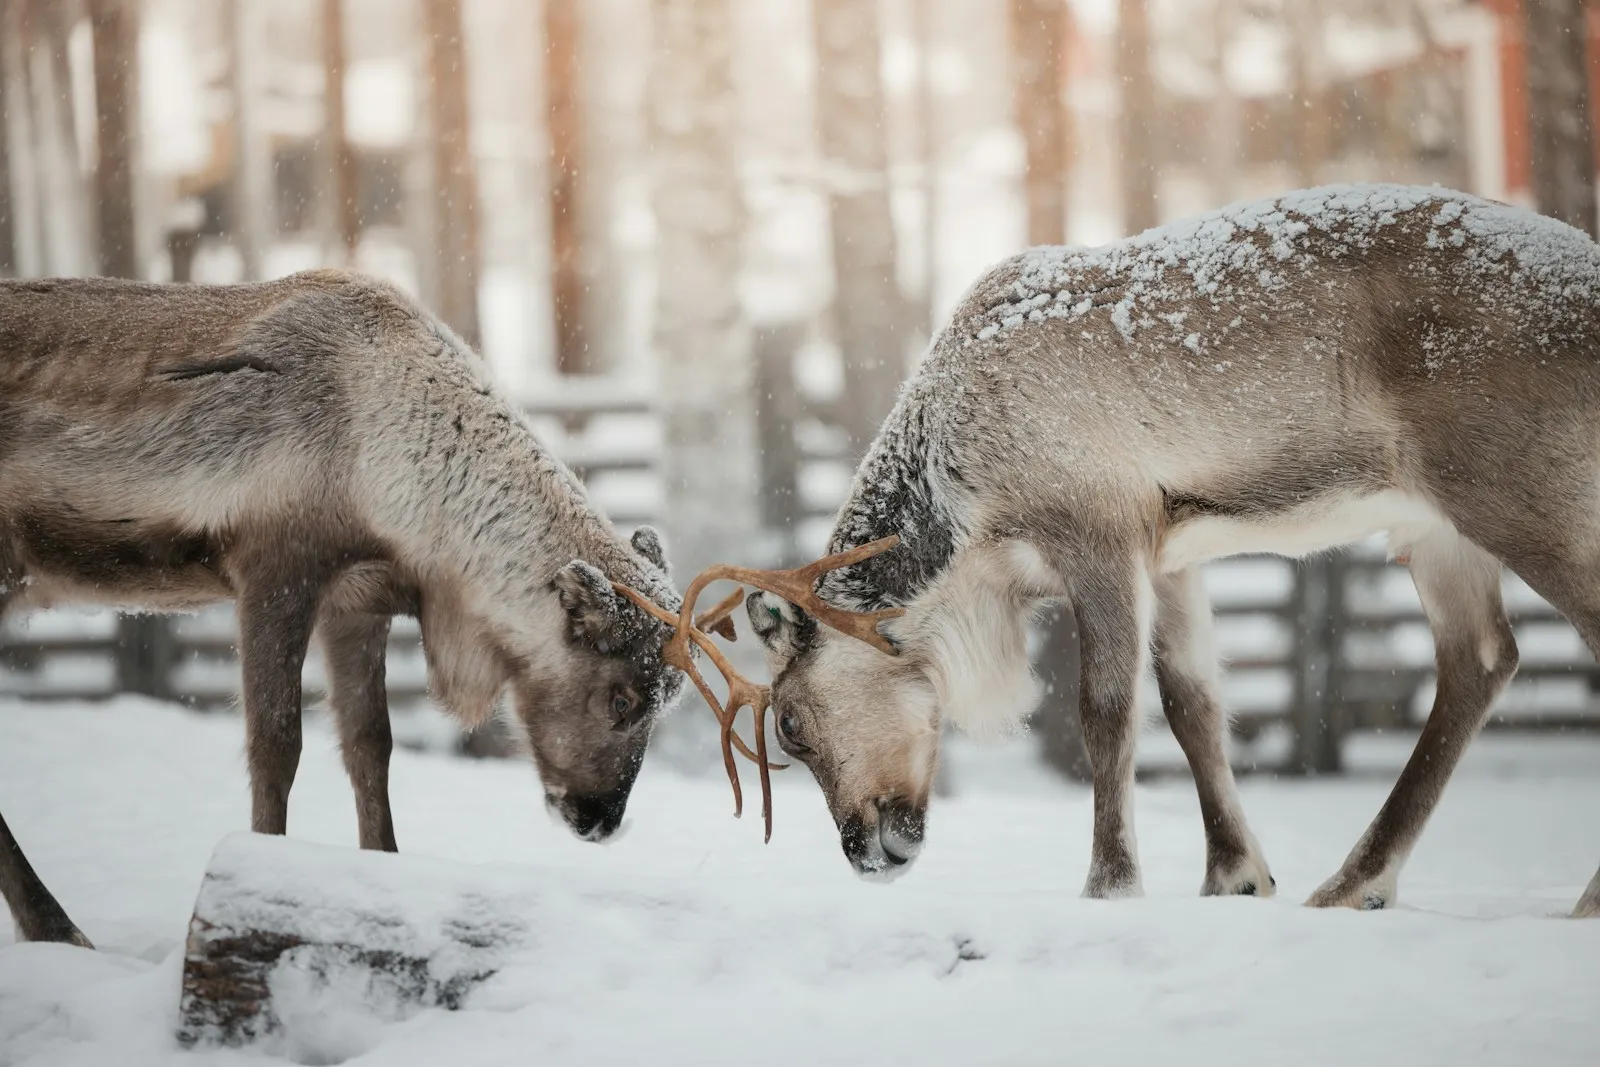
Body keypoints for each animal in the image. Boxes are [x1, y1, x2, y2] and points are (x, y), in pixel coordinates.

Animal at [0, 269, 695, 947]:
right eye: (621, 699)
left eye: (668, 698)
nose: (601, 821)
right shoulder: (275, 572)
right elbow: (276, 746)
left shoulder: (357, 602)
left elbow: (370, 747)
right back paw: (58, 928)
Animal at [647, 184, 1600, 918]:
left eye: (793, 723)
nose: (867, 850)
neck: (971, 525)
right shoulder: (1173, 551)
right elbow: (1193, 703)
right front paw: (1234, 876)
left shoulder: (1099, 529)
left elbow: (1106, 710)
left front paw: (1110, 883)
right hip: (1438, 527)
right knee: (1481, 657)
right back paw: (1354, 882)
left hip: (1518, 489)